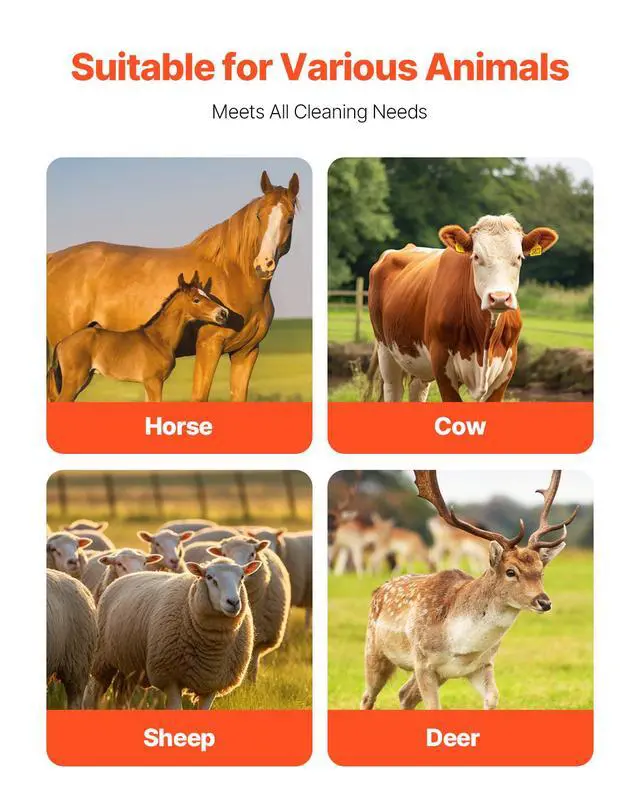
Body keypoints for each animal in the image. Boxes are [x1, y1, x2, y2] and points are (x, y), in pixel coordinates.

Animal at [47, 272, 230, 402]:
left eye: (207, 295)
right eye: (196, 299)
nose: (223, 313)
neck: (158, 339)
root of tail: (62, 343)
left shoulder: (149, 384)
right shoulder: (154, 382)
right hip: (74, 381)